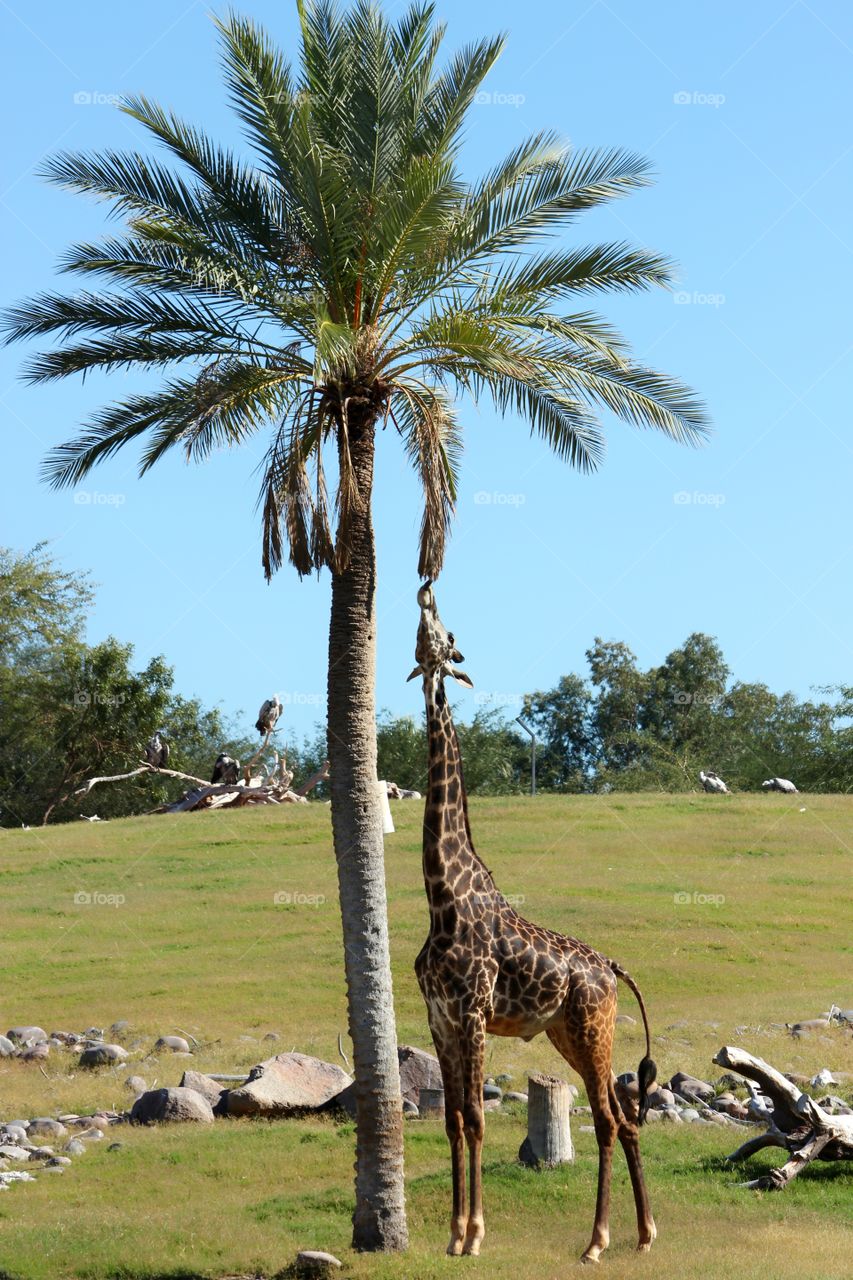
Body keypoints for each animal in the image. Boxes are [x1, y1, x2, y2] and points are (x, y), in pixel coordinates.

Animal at [409, 586, 653, 1264]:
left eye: (446, 632)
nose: (422, 593)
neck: (440, 897)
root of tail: (613, 968)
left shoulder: (472, 1013)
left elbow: (477, 1119)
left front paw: (474, 1235)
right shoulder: (439, 1018)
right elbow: (452, 1120)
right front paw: (451, 1234)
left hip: (594, 1029)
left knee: (607, 1119)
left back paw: (597, 1241)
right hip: (567, 1034)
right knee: (624, 1117)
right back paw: (643, 1233)